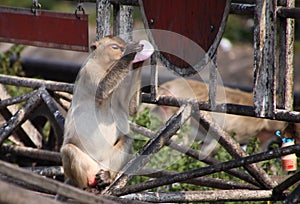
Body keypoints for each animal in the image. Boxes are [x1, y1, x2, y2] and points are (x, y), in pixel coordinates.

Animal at [61, 35, 154, 190]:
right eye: (115, 47)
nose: (122, 52)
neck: (106, 67)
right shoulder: (90, 70)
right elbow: (102, 89)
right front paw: (131, 52)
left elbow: (131, 109)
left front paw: (138, 62)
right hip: (89, 166)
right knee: (69, 150)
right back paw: (87, 188)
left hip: (107, 162)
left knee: (127, 139)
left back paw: (107, 178)